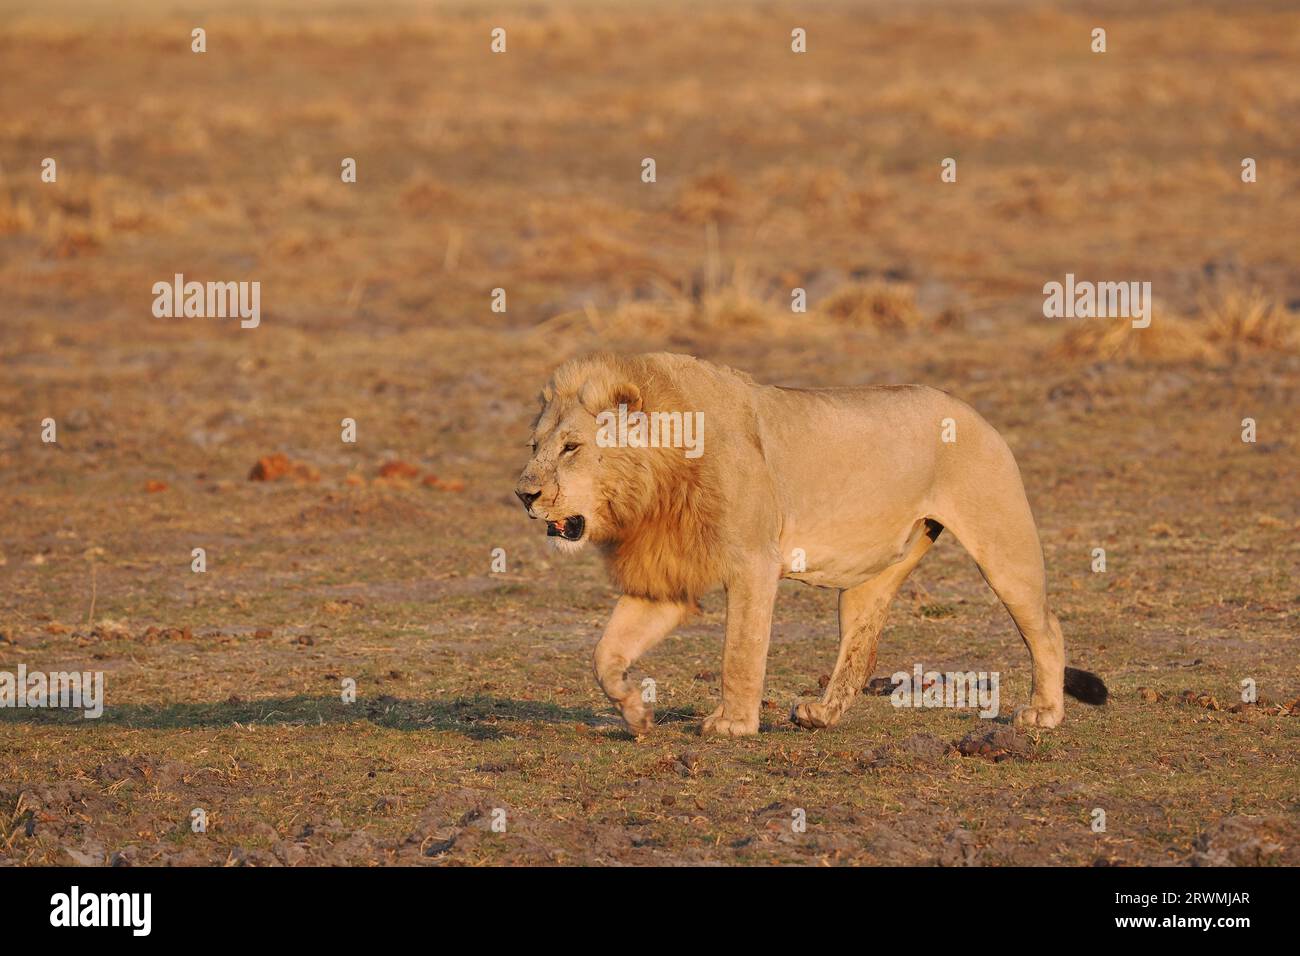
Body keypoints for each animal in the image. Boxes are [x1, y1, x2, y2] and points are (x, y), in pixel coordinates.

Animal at [517, 356, 1107, 738]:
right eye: (535, 445)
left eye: (572, 447)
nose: (524, 494)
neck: (653, 488)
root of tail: (973, 411)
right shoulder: (666, 577)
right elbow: (604, 655)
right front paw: (637, 714)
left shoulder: (754, 563)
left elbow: (740, 653)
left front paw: (733, 725)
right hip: (870, 578)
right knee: (861, 650)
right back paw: (819, 715)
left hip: (1003, 544)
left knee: (1047, 628)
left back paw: (1044, 713)